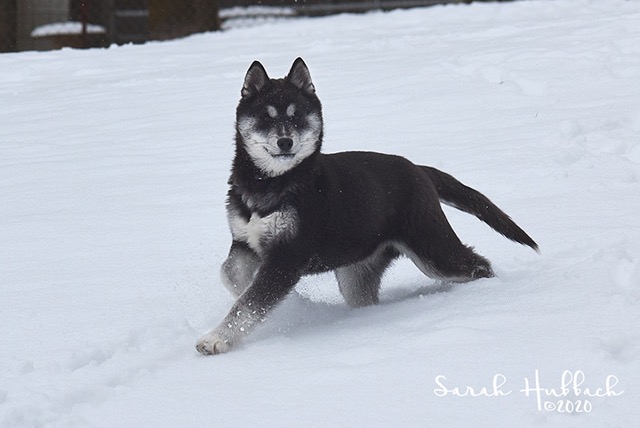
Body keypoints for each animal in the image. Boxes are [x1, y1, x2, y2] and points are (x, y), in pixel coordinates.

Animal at [196, 58, 538, 355]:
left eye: (297, 116)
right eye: (266, 116)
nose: (285, 142)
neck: (271, 184)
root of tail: (418, 169)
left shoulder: (288, 254)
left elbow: (251, 302)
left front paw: (216, 340)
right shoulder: (245, 243)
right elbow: (231, 275)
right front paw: (292, 304)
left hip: (432, 246)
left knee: (478, 265)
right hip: (357, 271)